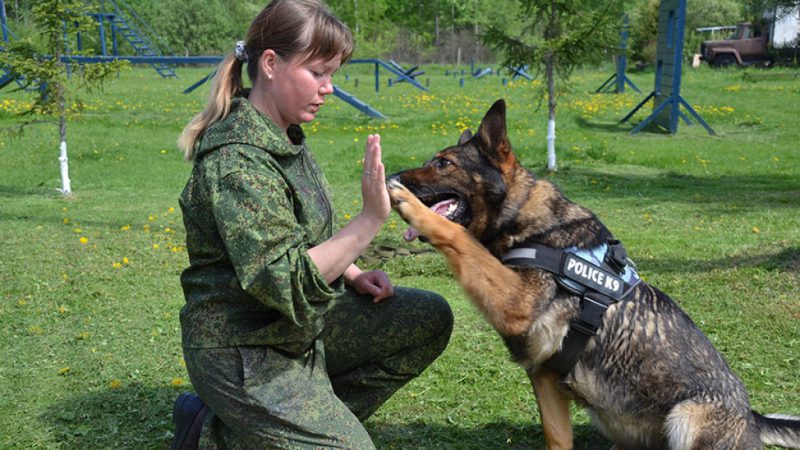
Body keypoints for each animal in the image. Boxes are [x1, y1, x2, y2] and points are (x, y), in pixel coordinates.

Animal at [388, 100, 800, 448]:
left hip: (685, 417)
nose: (393, 174)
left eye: (443, 163)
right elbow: (557, 439)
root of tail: (751, 417)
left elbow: (457, 237)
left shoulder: (516, 303)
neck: (528, 219)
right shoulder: (545, 377)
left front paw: (405, 202)